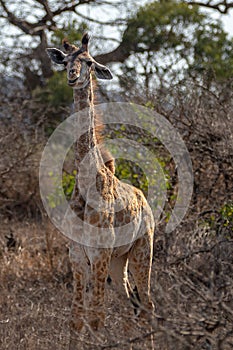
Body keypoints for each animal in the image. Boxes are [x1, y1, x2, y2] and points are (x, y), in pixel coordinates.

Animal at [46, 34, 155, 346]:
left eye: (90, 63)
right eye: (66, 61)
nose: (73, 76)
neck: (87, 183)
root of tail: (145, 202)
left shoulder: (99, 254)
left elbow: (96, 318)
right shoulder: (77, 255)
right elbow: (76, 319)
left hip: (142, 250)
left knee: (147, 303)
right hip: (120, 260)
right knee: (131, 301)